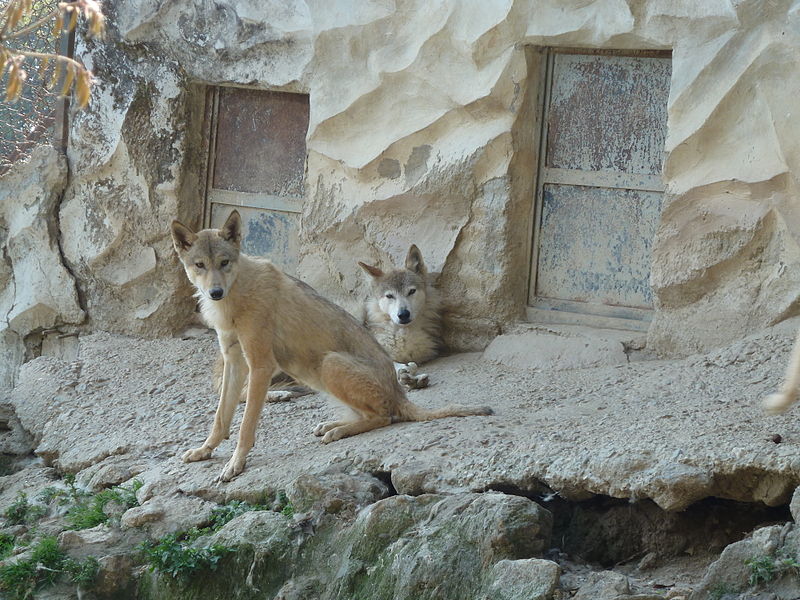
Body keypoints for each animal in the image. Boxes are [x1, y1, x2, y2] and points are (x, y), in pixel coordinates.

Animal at [360, 245, 440, 390]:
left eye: (411, 291)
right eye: (389, 296)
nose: (403, 314)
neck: (401, 333)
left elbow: (412, 365)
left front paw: (412, 379)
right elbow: (399, 365)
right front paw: (406, 374)